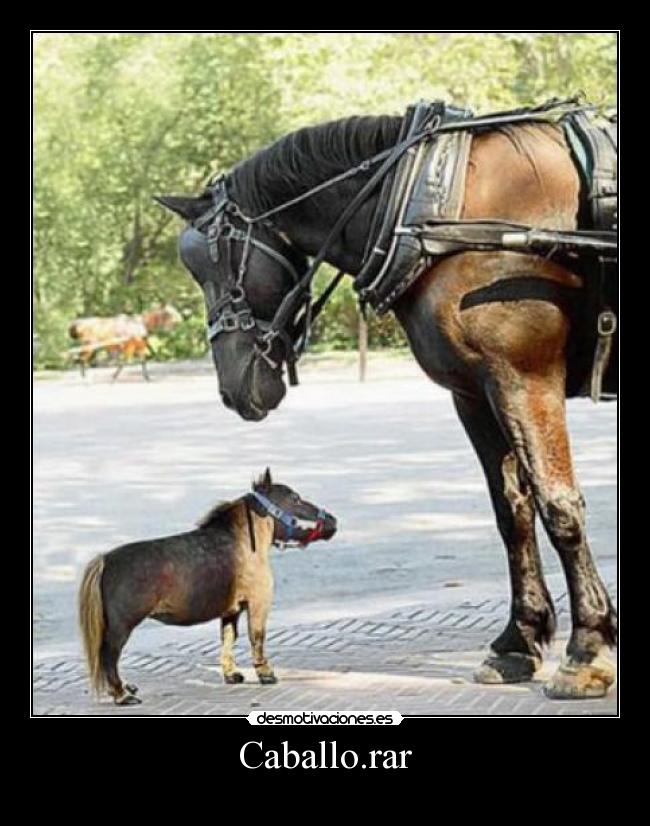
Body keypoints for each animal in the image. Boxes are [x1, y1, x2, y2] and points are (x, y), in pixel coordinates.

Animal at [78, 469, 337, 705]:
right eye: (295, 499)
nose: (332, 520)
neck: (243, 543)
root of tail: (105, 561)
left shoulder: (232, 610)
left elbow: (228, 639)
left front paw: (231, 674)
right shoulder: (258, 604)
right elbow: (257, 637)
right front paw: (266, 674)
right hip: (121, 626)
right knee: (109, 656)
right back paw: (121, 694)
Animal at [157, 98, 617, 699]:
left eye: (214, 266)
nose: (233, 387)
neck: (438, 208)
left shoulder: (524, 379)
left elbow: (558, 508)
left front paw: (588, 647)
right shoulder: (476, 392)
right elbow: (512, 514)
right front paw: (519, 640)